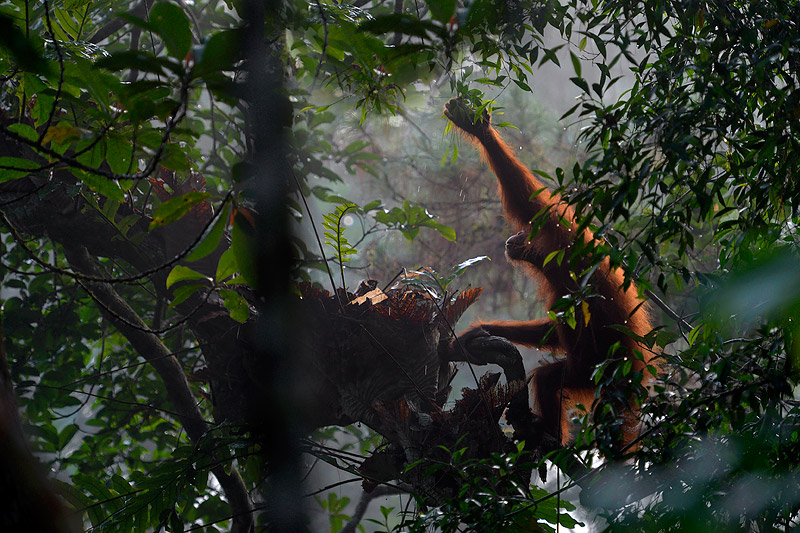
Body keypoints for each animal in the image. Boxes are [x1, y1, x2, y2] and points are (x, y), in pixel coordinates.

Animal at [443, 98, 657, 451]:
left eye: (525, 232)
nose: (513, 238)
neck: (551, 264)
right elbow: (553, 331)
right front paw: (478, 331)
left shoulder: (565, 240)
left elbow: (529, 202)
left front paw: (476, 127)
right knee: (551, 377)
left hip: (601, 371)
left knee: (553, 377)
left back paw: (547, 432)